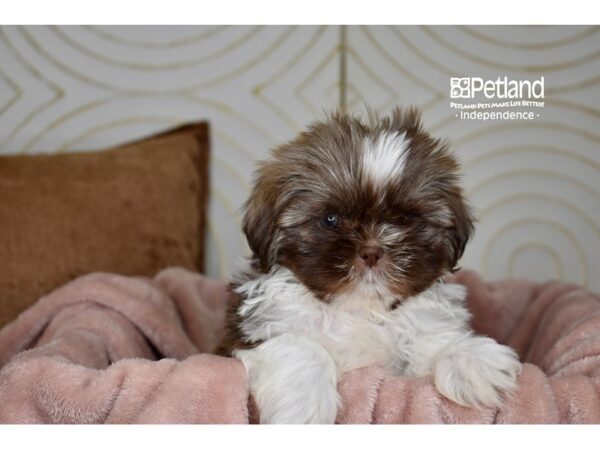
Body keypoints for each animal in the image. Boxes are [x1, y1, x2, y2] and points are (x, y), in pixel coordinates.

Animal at [218, 107, 524, 424]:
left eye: (404, 219)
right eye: (330, 219)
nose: (372, 251)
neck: (359, 309)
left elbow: (431, 342)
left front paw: (468, 358)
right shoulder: (251, 332)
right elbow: (302, 348)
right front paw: (304, 408)